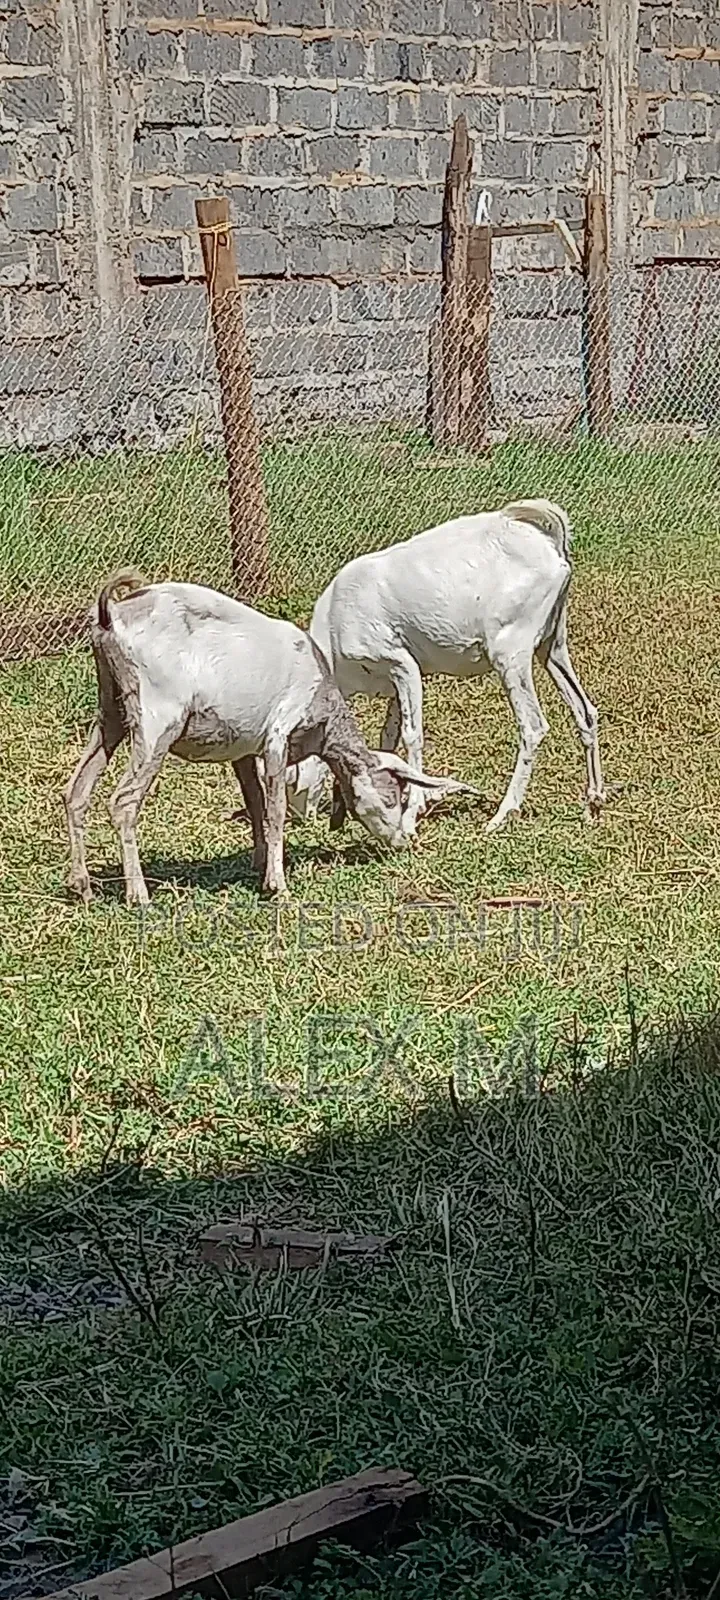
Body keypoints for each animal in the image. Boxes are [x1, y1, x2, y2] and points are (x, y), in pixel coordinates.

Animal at [64, 571, 480, 904]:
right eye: (396, 795)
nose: (402, 841)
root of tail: (112, 615)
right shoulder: (278, 738)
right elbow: (275, 808)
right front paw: (277, 884)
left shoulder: (243, 750)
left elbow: (255, 803)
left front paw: (260, 863)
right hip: (156, 723)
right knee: (123, 802)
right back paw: (138, 893)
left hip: (111, 712)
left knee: (76, 792)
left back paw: (82, 886)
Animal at [305, 500, 605, 838]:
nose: (303, 814)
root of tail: (548, 543)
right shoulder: (396, 685)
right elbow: (389, 737)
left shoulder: (403, 665)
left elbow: (412, 735)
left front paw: (412, 813)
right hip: (552, 647)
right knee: (585, 711)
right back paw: (593, 802)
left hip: (510, 654)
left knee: (533, 727)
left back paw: (502, 814)